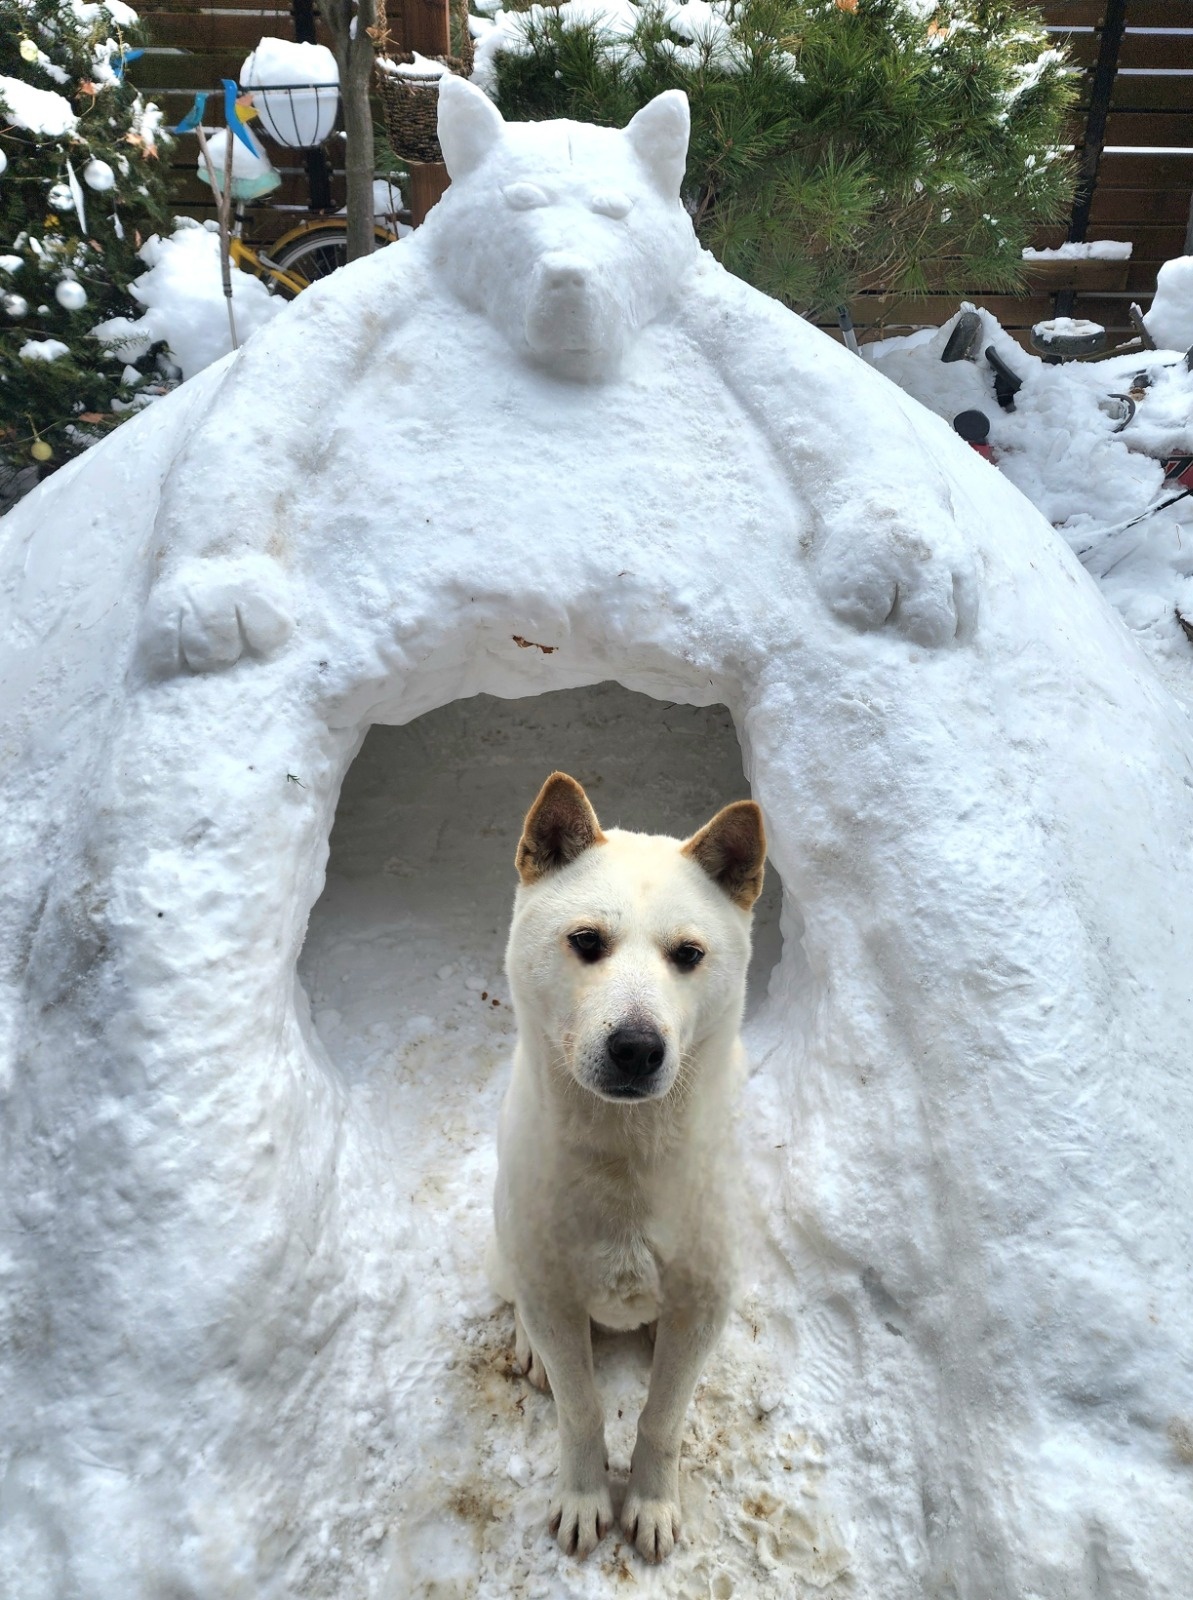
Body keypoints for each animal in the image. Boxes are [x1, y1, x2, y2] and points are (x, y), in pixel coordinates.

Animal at [482, 774, 761, 1561]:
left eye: (688, 955)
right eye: (586, 941)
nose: (637, 1048)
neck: (626, 1155)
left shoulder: (703, 1300)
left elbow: (662, 1421)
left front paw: (651, 1502)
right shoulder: (552, 1292)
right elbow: (580, 1413)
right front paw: (584, 1498)